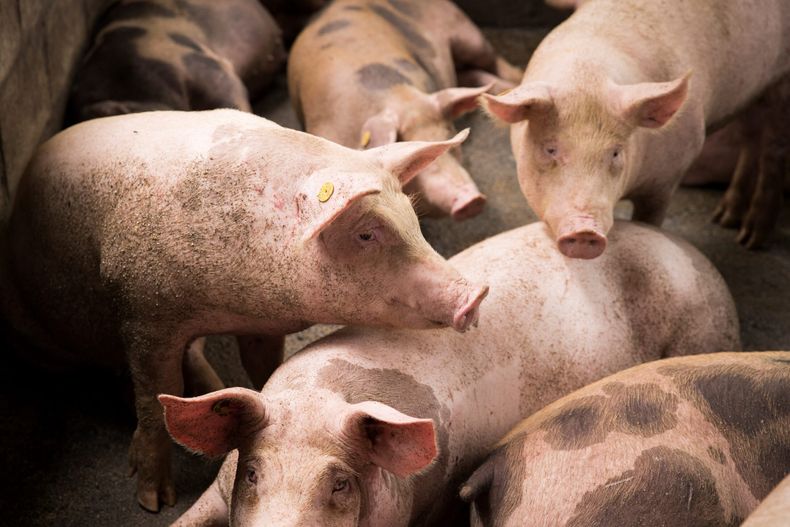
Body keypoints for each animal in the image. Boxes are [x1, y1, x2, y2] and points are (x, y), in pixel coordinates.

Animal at [0, 109, 488, 512]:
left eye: (412, 218)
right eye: (367, 233)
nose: (477, 293)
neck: (233, 301)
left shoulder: (261, 324)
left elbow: (261, 365)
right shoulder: (142, 310)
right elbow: (155, 393)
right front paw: (154, 502)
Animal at [161, 220, 740, 526]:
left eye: (341, 483)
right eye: (253, 472)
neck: (318, 394)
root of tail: (700, 260)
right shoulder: (219, 491)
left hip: (701, 330)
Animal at [288, 0, 523, 221]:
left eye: (448, 136)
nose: (472, 200)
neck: (397, 96)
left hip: (468, 34)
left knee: (493, 61)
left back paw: (517, 80)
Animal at [483, 0, 790, 258]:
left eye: (616, 152)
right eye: (550, 149)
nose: (584, 231)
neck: (586, 71)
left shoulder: (667, 178)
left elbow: (650, 219)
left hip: (781, 80)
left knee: (774, 149)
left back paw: (750, 240)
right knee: (751, 137)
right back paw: (725, 219)